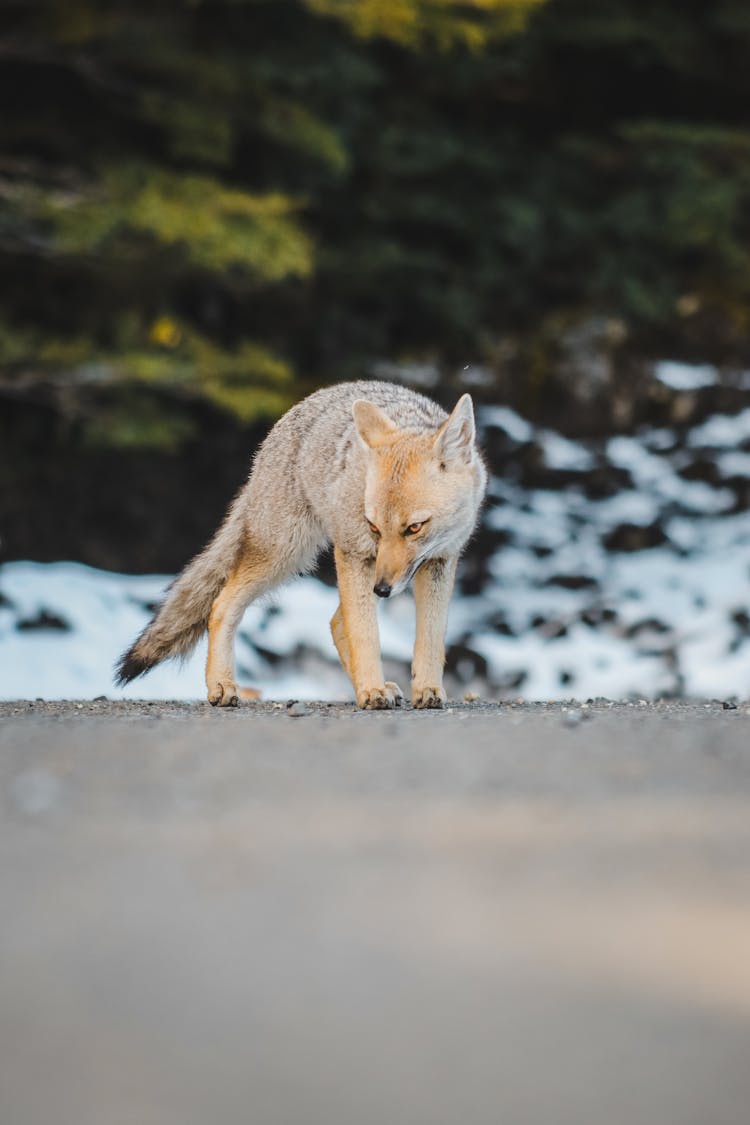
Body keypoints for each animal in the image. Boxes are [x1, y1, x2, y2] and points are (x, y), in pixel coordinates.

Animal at [112, 382, 488, 706]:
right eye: (374, 527)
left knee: (336, 624)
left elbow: (431, 637)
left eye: (414, 528)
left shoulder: (441, 561)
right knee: (222, 605)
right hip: (287, 556)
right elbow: (365, 635)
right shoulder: (355, 552)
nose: (382, 590)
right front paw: (371, 692)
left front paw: (426, 689)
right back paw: (222, 684)